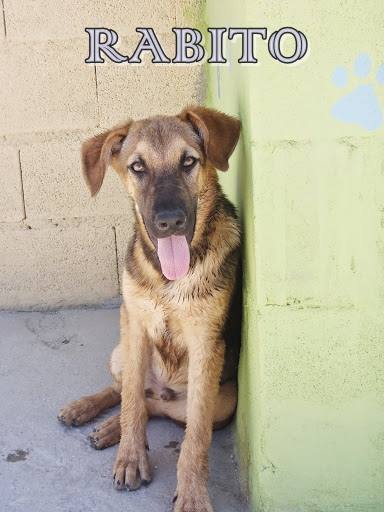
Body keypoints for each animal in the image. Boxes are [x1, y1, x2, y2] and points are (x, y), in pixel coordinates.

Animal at [58, 106, 242, 510]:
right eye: (137, 166)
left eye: (189, 161)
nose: (169, 221)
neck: (167, 278)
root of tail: (164, 390)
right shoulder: (135, 323)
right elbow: (129, 402)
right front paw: (129, 456)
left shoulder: (207, 343)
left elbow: (196, 438)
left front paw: (192, 494)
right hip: (121, 350)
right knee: (129, 392)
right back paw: (89, 412)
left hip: (225, 399)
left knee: (156, 407)